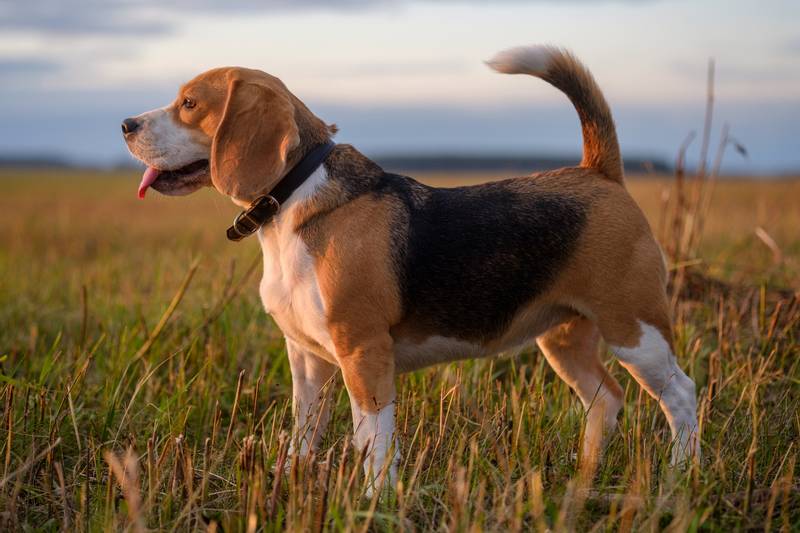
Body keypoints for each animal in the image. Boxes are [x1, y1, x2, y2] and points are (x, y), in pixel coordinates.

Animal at [122, 45, 696, 490]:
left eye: (190, 104)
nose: (126, 124)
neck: (292, 198)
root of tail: (598, 172)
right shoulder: (307, 360)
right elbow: (304, 432)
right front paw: (291, 482)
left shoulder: (364, 352)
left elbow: (374, 442)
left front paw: (375, 501)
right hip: (563, 341)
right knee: (606, 399)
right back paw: (584, 474)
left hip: (634, 330)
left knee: (682, 396)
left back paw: (680, 476)